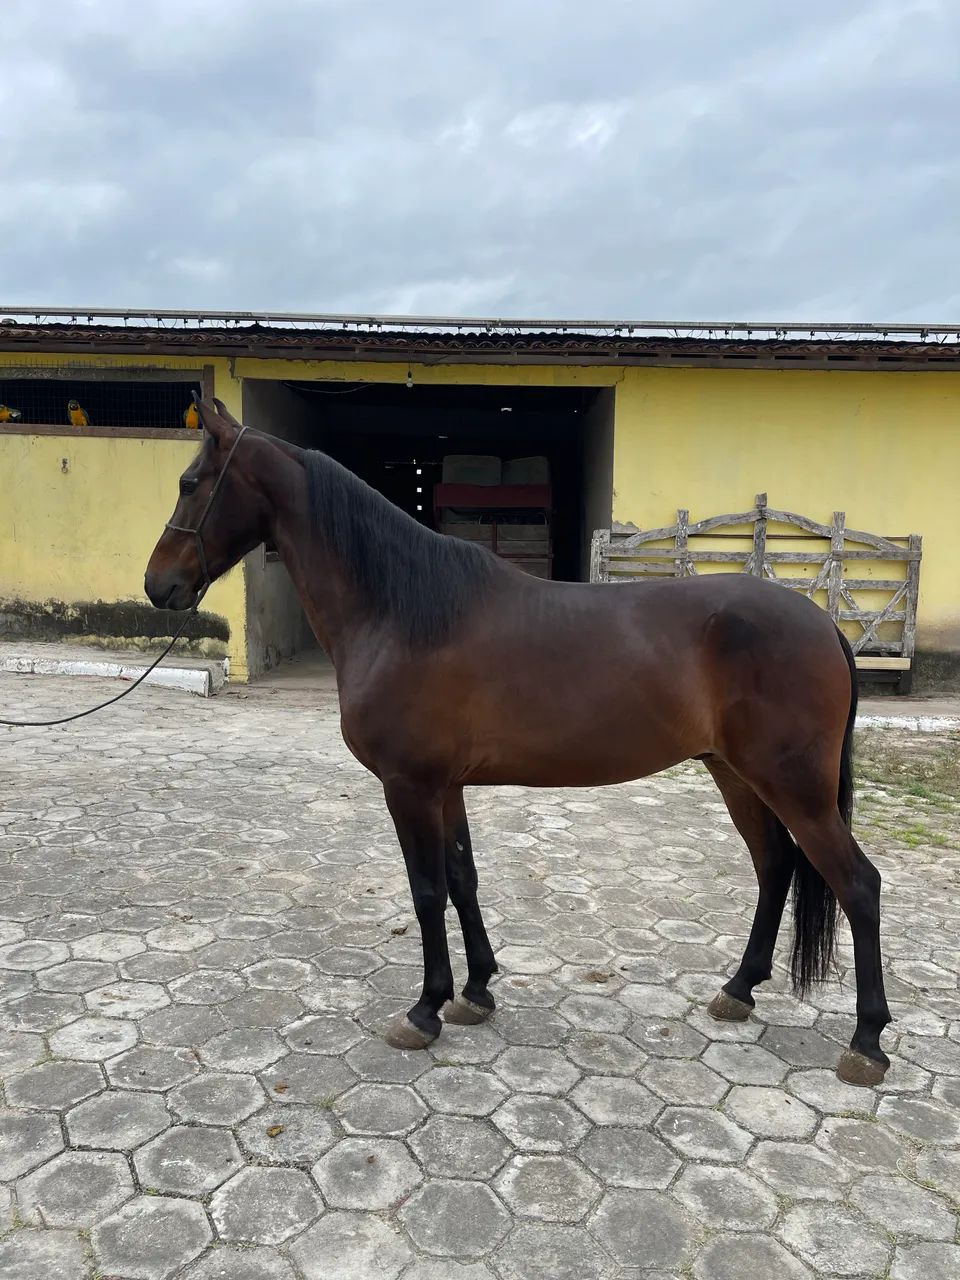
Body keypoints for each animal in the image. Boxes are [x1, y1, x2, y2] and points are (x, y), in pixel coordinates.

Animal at [144, 398, 891, 1088]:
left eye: (189, 481)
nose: (158, 585)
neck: (402, 613)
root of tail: (823, 625)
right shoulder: (444, 786)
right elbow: (462, 879)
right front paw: (476, 992)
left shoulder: (409, 786)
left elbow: (426, 891)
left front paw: (425, 1010)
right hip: (736, 775)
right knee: (776, 868)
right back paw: (739, 990)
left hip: (793, 788)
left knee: (857, 884)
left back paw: (867, 1042)